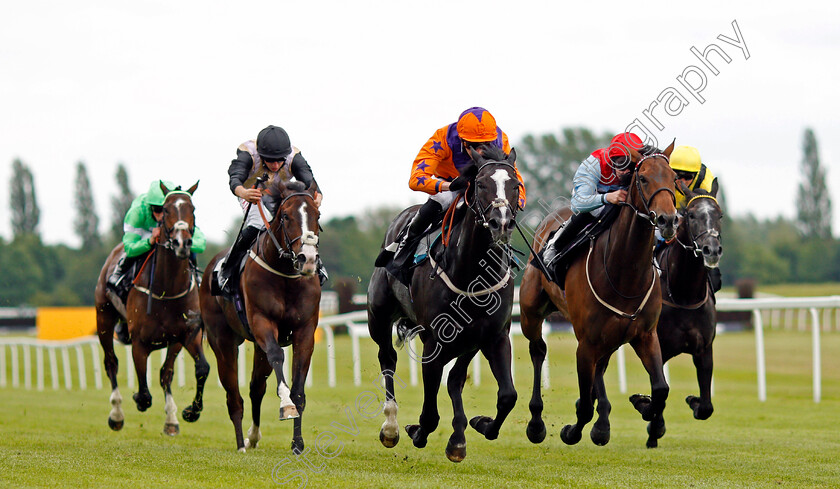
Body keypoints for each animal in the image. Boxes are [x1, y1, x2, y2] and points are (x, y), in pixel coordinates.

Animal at [93, 182, 207, 434]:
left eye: (193, 209)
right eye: (165, 210)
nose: (182, 243)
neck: (167, 290)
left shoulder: (186, 334)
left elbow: (196, 369)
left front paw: (187, 413)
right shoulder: (139, 341)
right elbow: (144, 392)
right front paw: (137, 399)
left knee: (165, 373)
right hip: (104, 318)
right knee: (111, 363)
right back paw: (116, 414)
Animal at [199, 179, 324, 454]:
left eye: (317, 215)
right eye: (286, 216)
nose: (308, 259)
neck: (285, 275)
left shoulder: (305, 331)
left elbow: (298, 389)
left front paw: (297, 443)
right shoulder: (262, 322)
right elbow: (277, 356)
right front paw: (285, 405)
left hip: (257, 346)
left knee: (256, 388)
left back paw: (253, 437)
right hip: (222, 341)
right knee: (233, 395)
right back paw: (240, 444)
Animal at [368, 144, 520, 462]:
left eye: (515, 185)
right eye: (481, 184)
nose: (501, 223)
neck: (473, 274)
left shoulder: (495, 336)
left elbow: (507, 396)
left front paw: (479, 426)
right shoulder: (433, 342)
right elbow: (429, 412)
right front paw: (417, 431)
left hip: (469, 341)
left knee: (456, 379)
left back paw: (459, 435)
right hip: (378, 316)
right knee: (388, 359)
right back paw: (391, 426)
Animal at [520, 141, 680, 446]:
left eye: (674, 179)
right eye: (643, 179)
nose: (668, 220)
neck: (624, 272)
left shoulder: (645, 335)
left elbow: (661, 389)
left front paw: (647, 412)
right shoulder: (585, 343)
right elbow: (583, 404)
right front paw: (571, 431)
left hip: (609, 337)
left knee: (601, 368)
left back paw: (603, 420)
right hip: (530, 312)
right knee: (537, 350)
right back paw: (536, 423)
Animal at [656, 184, 720, 420]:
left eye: (719, 215)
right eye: (691, 215)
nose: (712, 250)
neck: (684, 294)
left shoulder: (704, 349)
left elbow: (706, 408)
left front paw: (694, 400)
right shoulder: (659, 347)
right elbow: (658, 394)